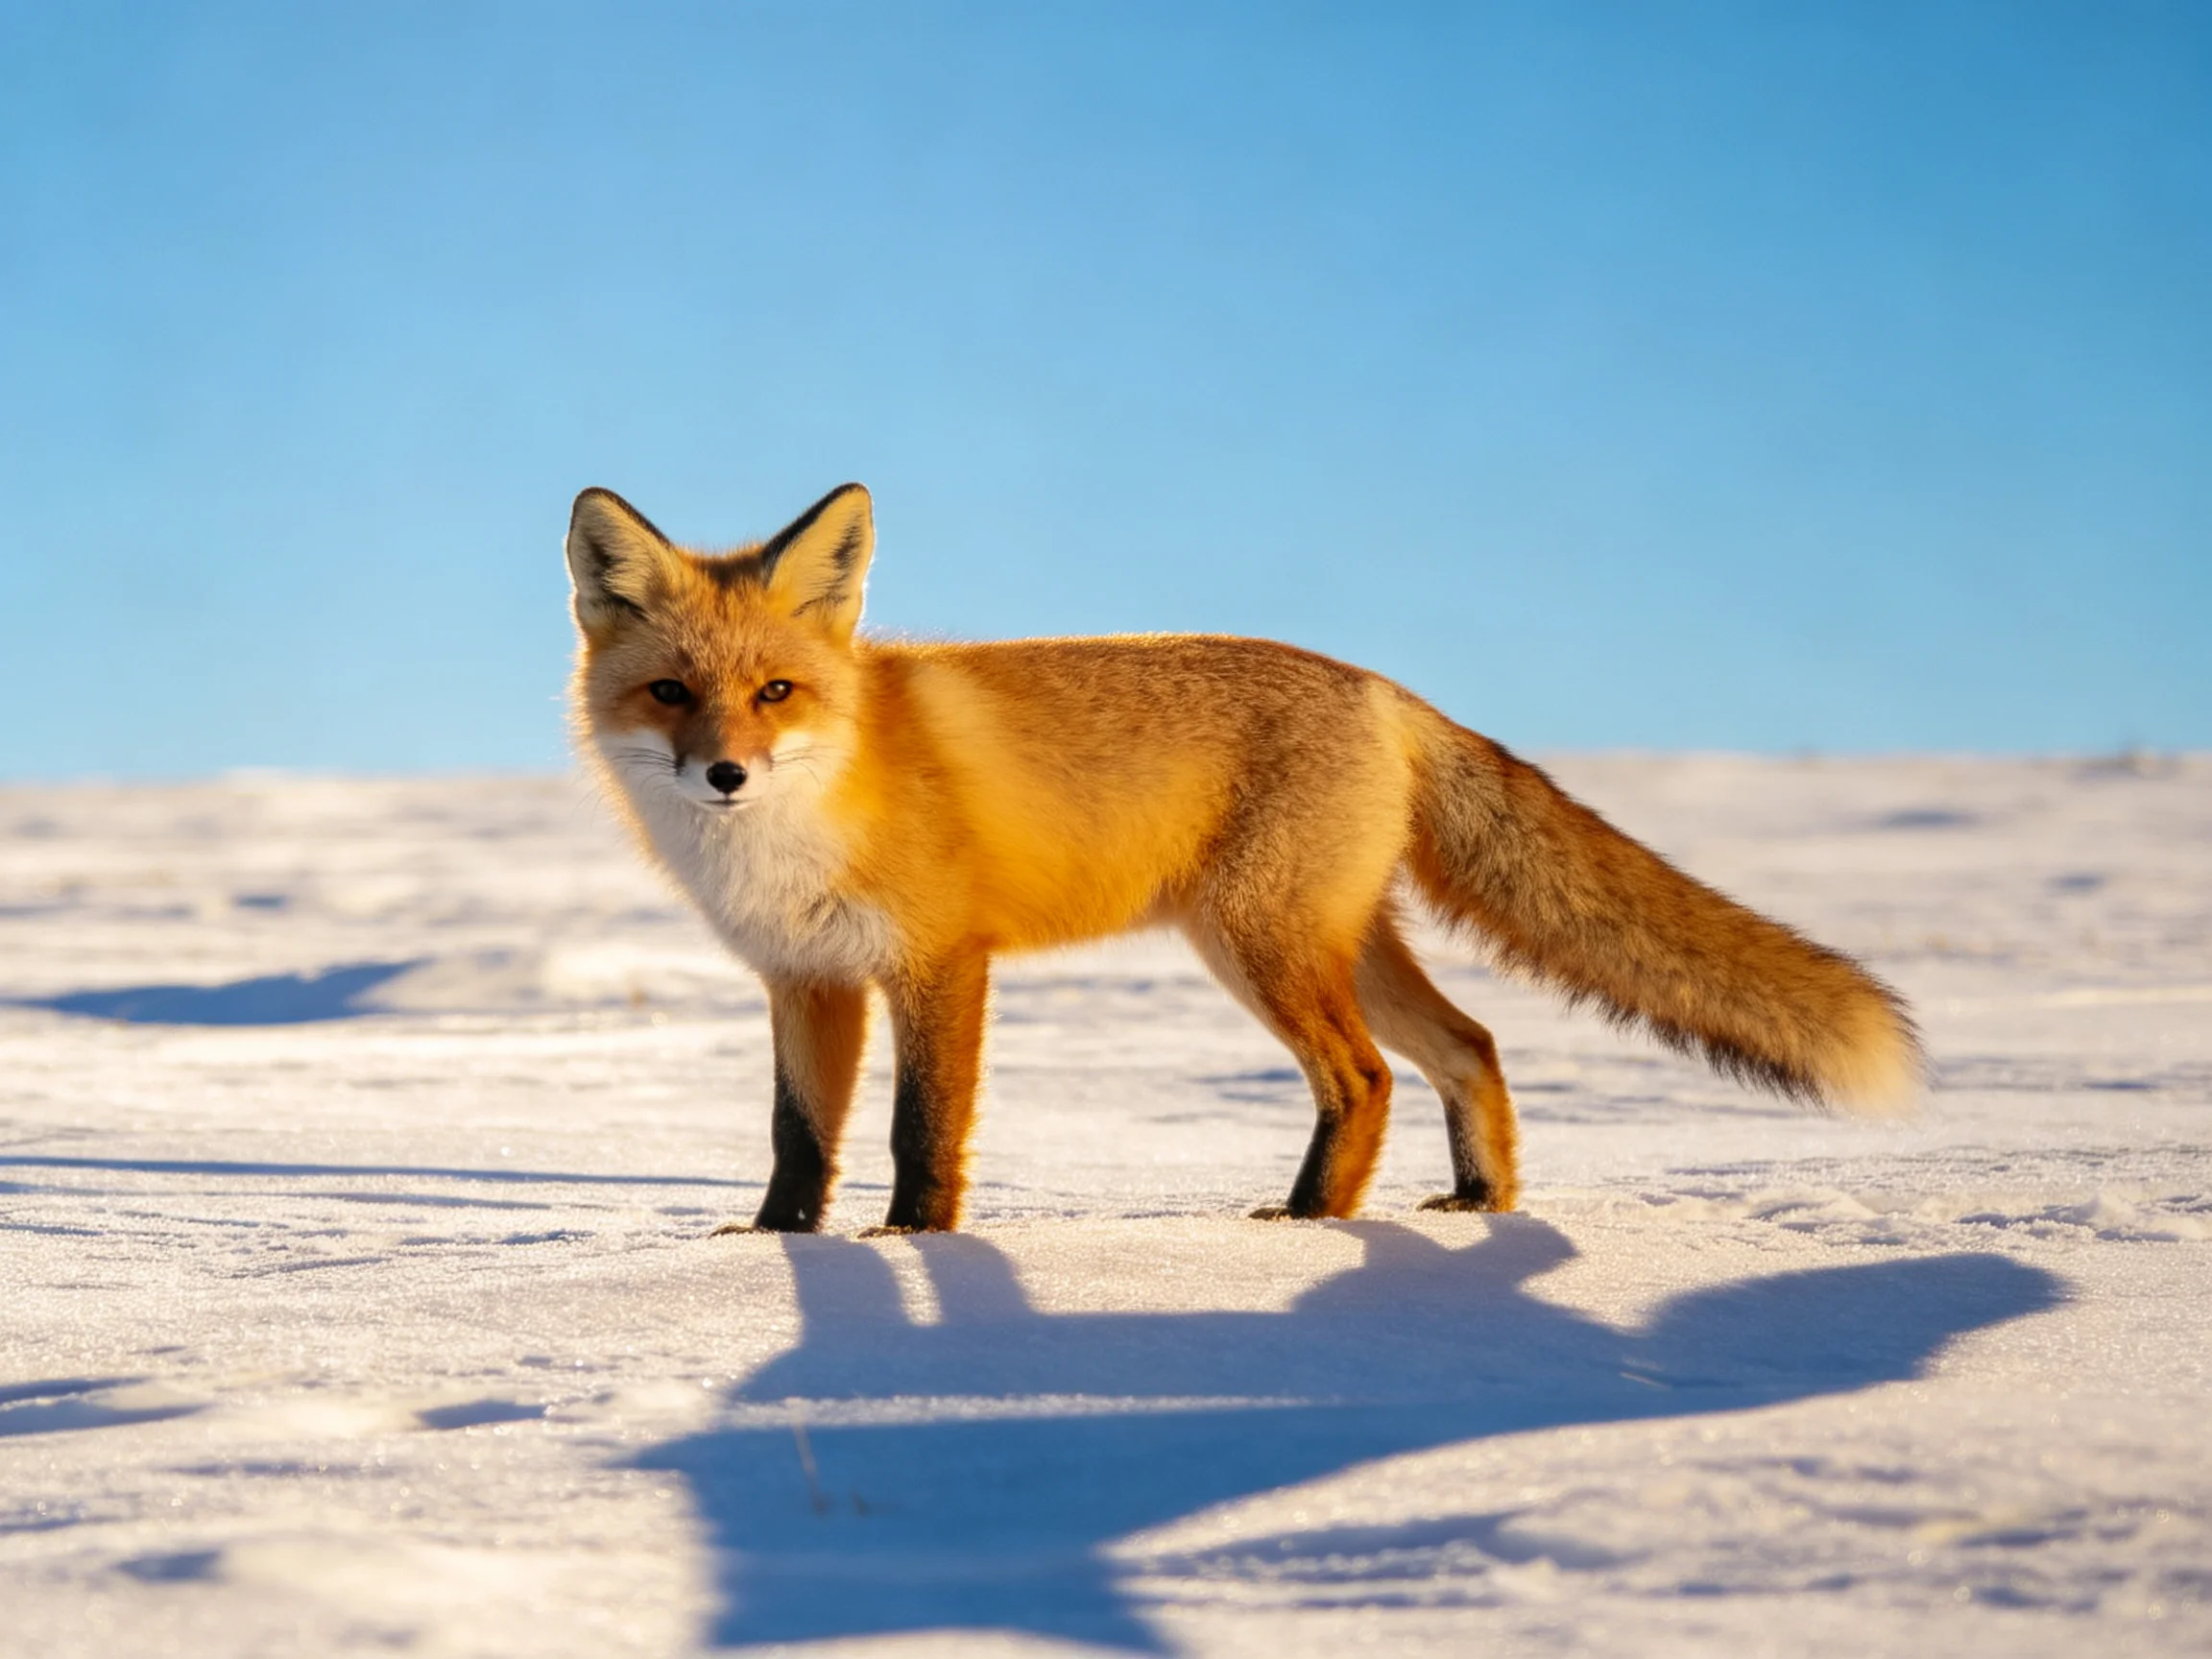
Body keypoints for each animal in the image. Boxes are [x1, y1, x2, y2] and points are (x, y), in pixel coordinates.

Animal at [566, 482, 1921, 1235]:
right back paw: (1477, 1210)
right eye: (673, 693)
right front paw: (771, 1250)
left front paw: (909, 1247)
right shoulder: (807, 980)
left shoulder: (940, 964)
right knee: (1470, 1048)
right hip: (1334, 945)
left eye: (776, 693)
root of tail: (1383, 689)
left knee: (1365, 1079)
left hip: (1260, 945)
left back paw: (1307, 1225)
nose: (725, 775)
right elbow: (800, 1140)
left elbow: (919, 1133)